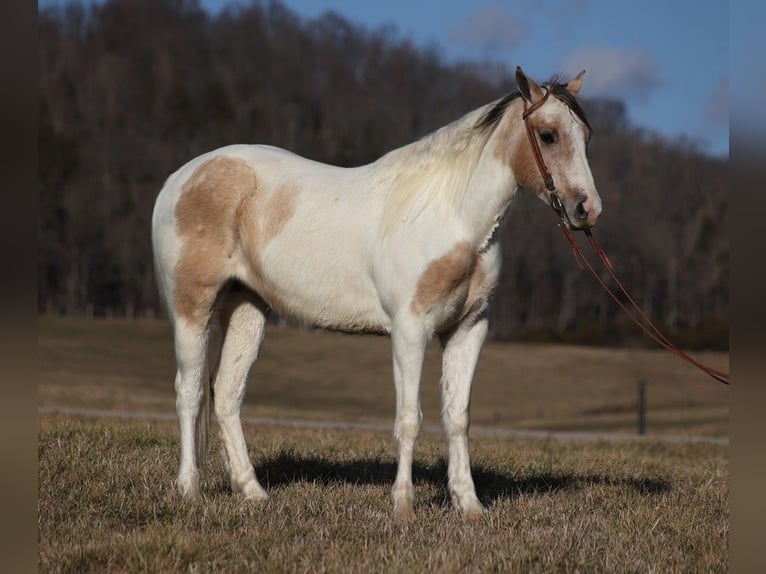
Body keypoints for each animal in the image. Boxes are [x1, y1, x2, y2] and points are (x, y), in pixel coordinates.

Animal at [150, 66, 604, 520]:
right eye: (548, 135)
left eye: (585, 135)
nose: (588, 209)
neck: (452, 217)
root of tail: (179, 179)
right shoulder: (409, 331)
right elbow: (409, 418)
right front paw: (403, 505)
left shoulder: (469, 329)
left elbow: (458, 418)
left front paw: (469, 505)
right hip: (192, 308)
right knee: (189, 392)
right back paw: (189, 489)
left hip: (247, 307)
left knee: (227, 394)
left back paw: (252, 492)